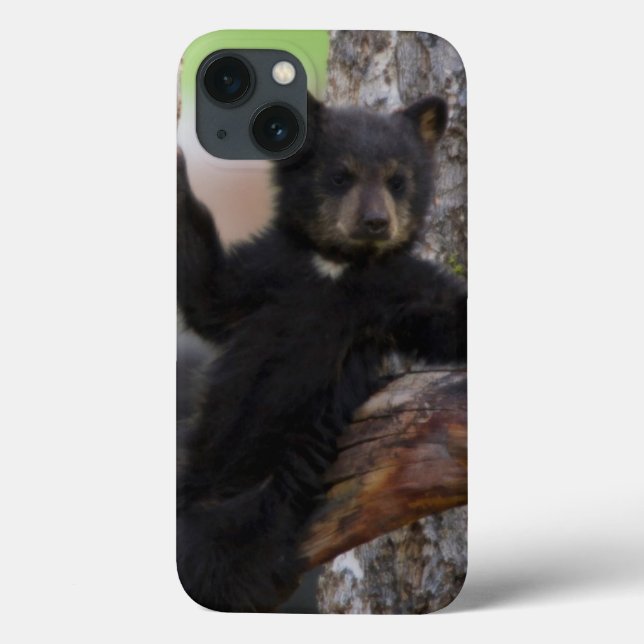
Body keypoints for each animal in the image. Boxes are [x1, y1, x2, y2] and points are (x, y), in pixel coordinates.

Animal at [176, 93, 466, 612]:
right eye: (340, 175)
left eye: (397, 180)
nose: (376, 222)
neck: (336, 264)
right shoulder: (270, 270)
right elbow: (208, 293)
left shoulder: (397, 288)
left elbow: (447, 318)